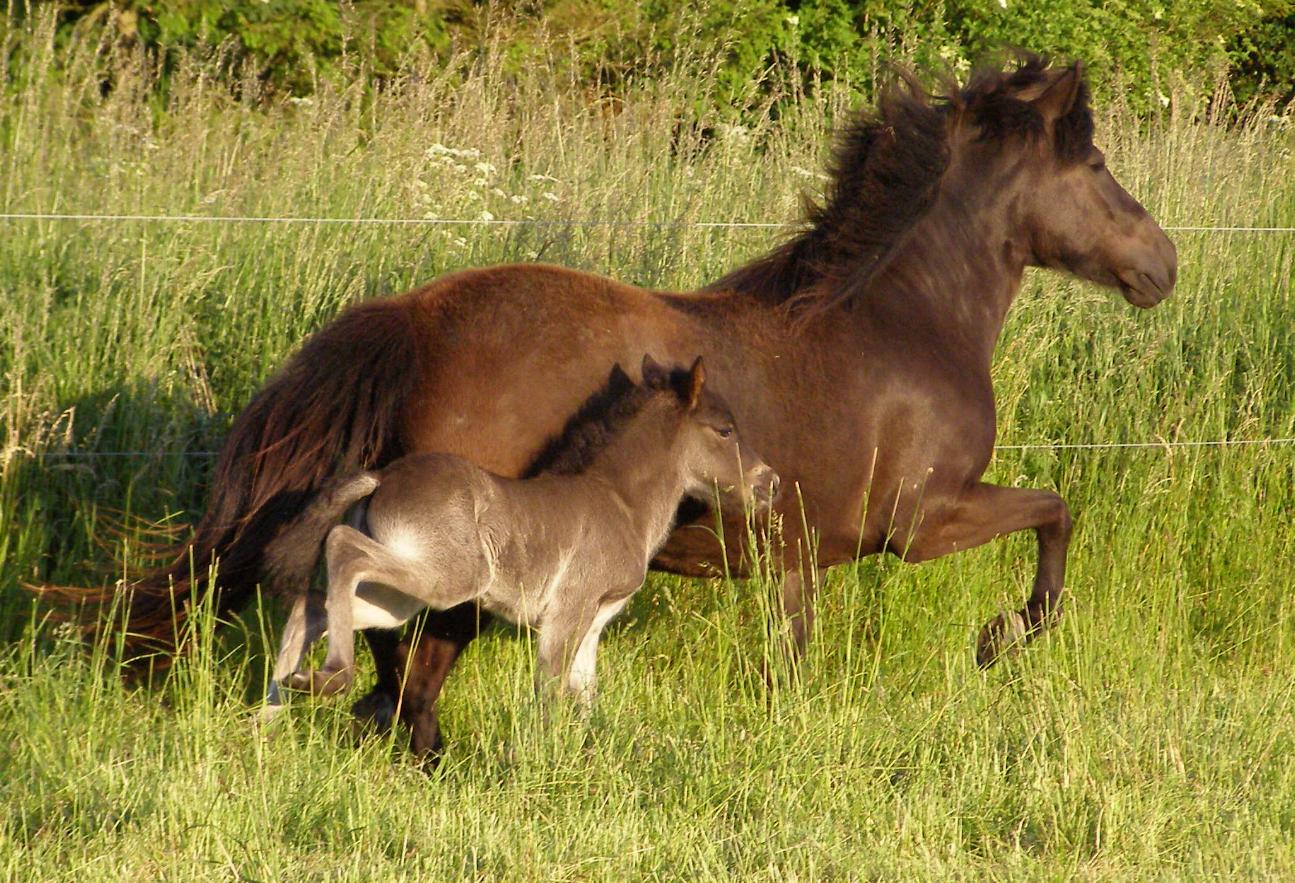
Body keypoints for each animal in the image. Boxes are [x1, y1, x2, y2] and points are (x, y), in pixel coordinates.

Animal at [73, 55, 1175, 756]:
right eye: (1090, 164)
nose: (1160, 264)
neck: (900, 323)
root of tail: (417, 317)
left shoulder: (798, 550)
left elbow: (790, 654)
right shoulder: (922, 519)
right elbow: (1056, 513)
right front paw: (1002, 636)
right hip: (462, 560)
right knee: (405, 661)